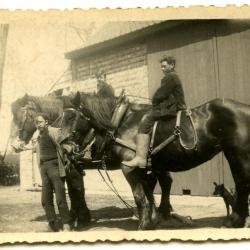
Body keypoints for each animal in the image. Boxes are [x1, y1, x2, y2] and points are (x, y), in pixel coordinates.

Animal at [10, 94, 174, 230]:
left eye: (21, 117)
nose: (15, 145)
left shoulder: (73, 168)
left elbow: (76, 191)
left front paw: (79, 218)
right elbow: (76, 191)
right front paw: (80, 216)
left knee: (163, 182)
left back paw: (161, 213)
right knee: (158, 182)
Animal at [61, 91, 250, 229]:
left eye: (70, 117)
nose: (64, 147)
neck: (123, 121)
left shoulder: (129, 168)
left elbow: (139, 195)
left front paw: (144, 225)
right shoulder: (147, 169)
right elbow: (149, 194)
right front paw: (152, 220)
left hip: (240, 154)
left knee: (243, 183)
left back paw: (235, 220)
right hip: (231, 154)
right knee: (241, 183)